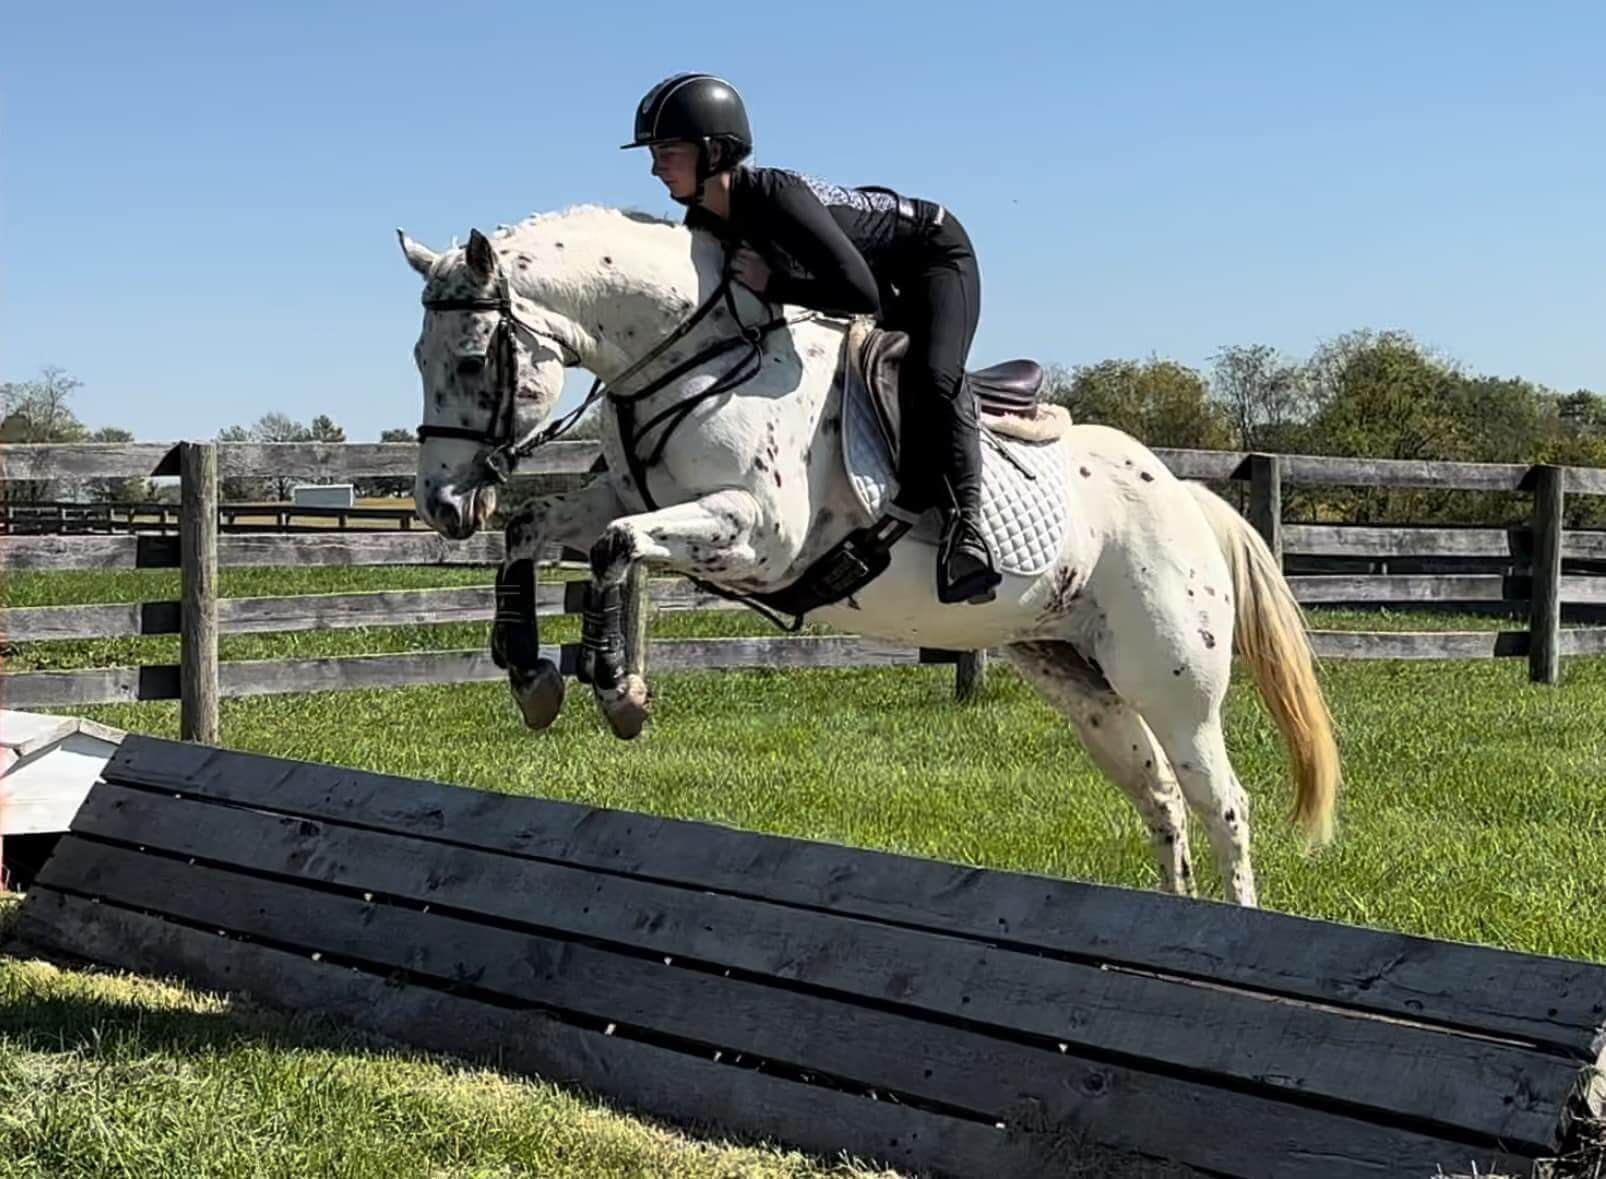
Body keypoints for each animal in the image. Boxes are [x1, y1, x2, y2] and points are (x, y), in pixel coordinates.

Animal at [396, 205, 1340, 906]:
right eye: (418, 355)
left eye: (474, 359)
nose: (441, 506)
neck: (694, 354)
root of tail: (1187, 497)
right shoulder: (623, 499)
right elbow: (538, 533)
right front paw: (535, 675)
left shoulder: (757, 534)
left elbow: (615, 550)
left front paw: (617, 691)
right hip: (1083, 683)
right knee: (1163, 799)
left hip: (1174, 683)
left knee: (1223, 804)